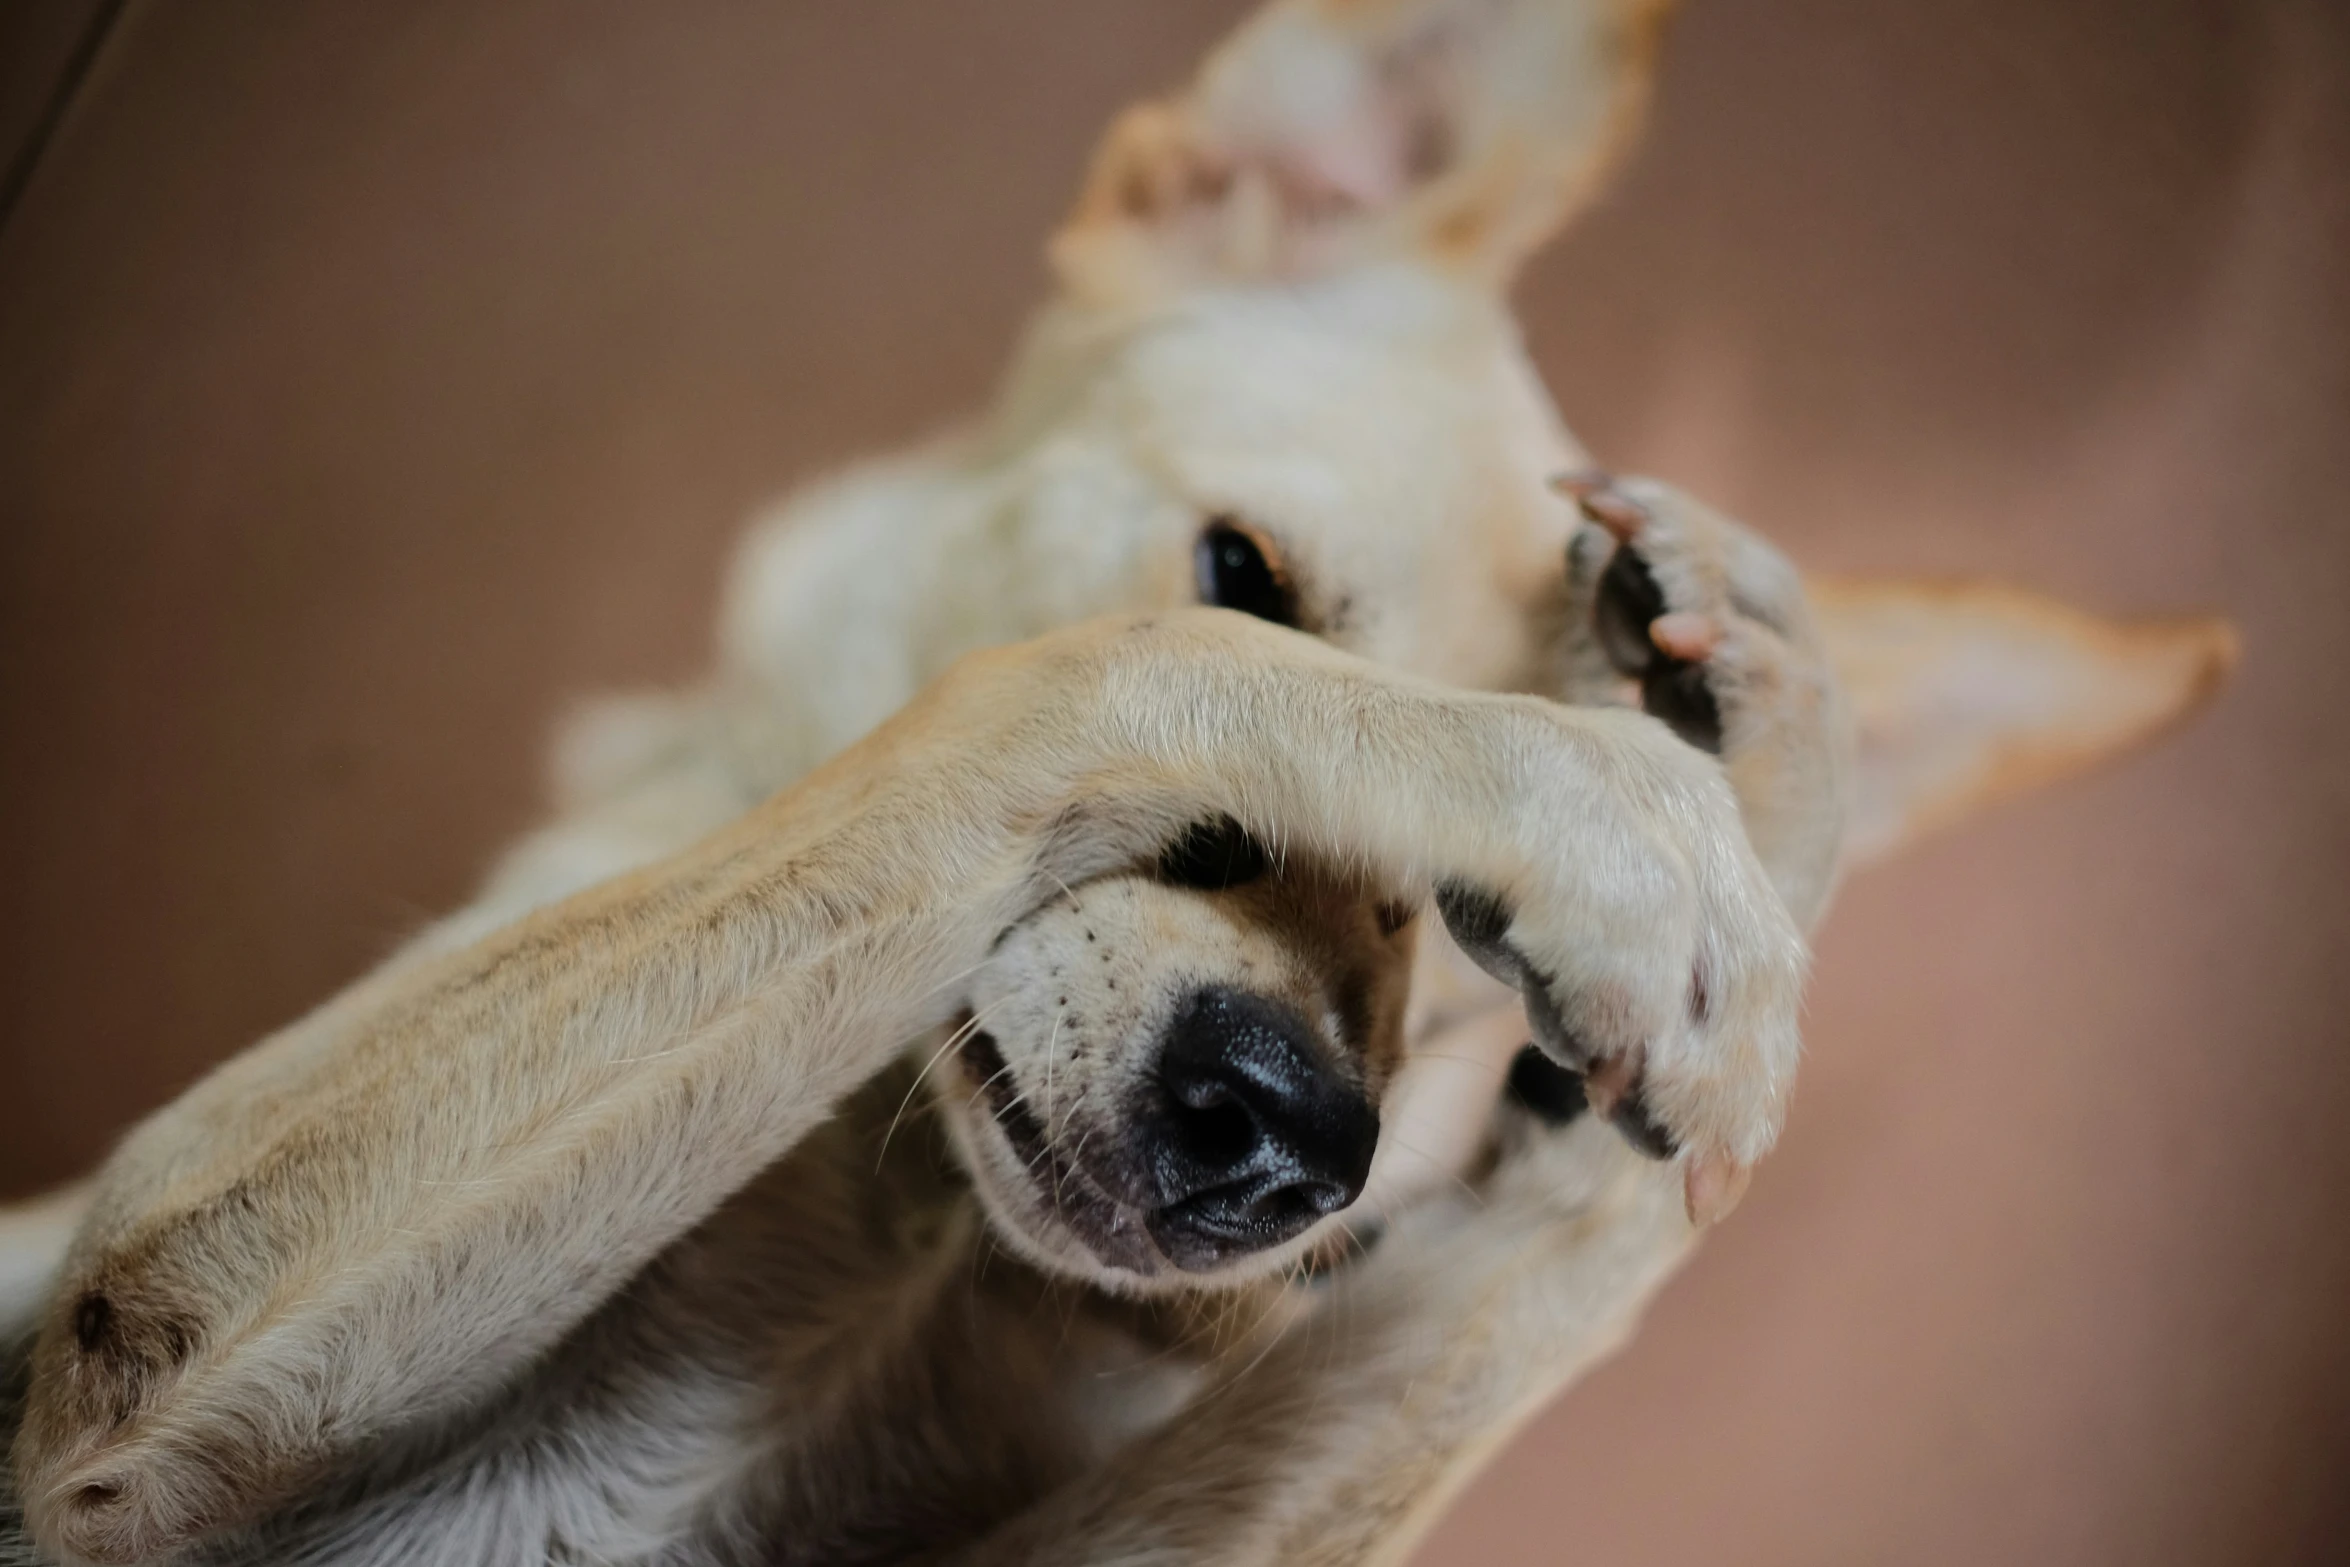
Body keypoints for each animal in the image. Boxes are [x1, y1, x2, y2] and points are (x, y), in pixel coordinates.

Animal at [4, 3, 2237, 1567]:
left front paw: (1772, 781)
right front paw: (1635, 806)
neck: (881, 1251)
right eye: (1242, 568)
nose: (1280, 1144)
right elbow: (1109, 673)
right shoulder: (147, 1318)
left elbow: (1542, 1268)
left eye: (1478, 964)